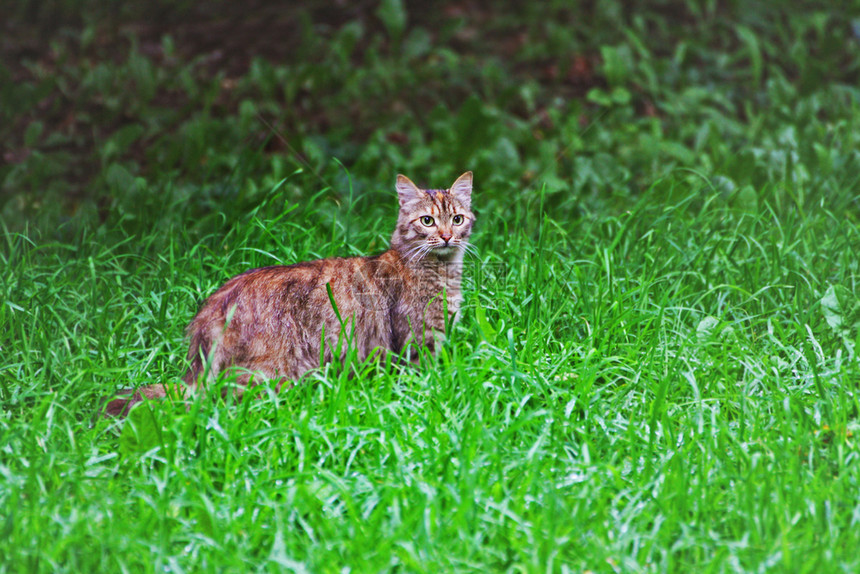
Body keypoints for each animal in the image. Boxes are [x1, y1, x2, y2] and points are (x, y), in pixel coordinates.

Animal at [105, 171, 478, 418]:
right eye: (428, 221)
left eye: (458, 219)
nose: (447, 236)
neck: (441, 271)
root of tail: (213, 307)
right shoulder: (417, 344)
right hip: (268, 375)